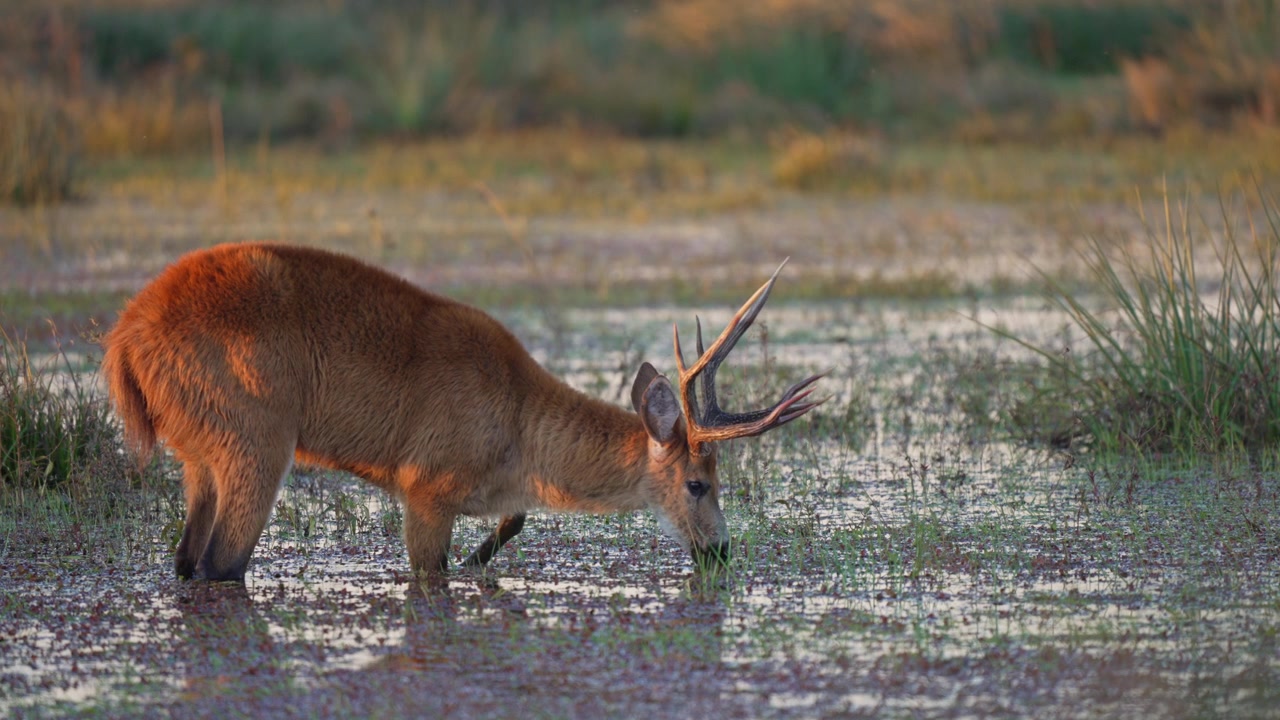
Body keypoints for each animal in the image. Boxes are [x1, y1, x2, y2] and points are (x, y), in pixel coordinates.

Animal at [101, 243, 823, 583]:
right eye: (699, 483)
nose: (722, 551)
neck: (519, 425)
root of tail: (127, 336)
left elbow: (514, 521)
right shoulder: (424, 490)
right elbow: (434, 571)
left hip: (200, 456)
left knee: (187, 561)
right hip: (256, 439)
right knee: (223, 563)